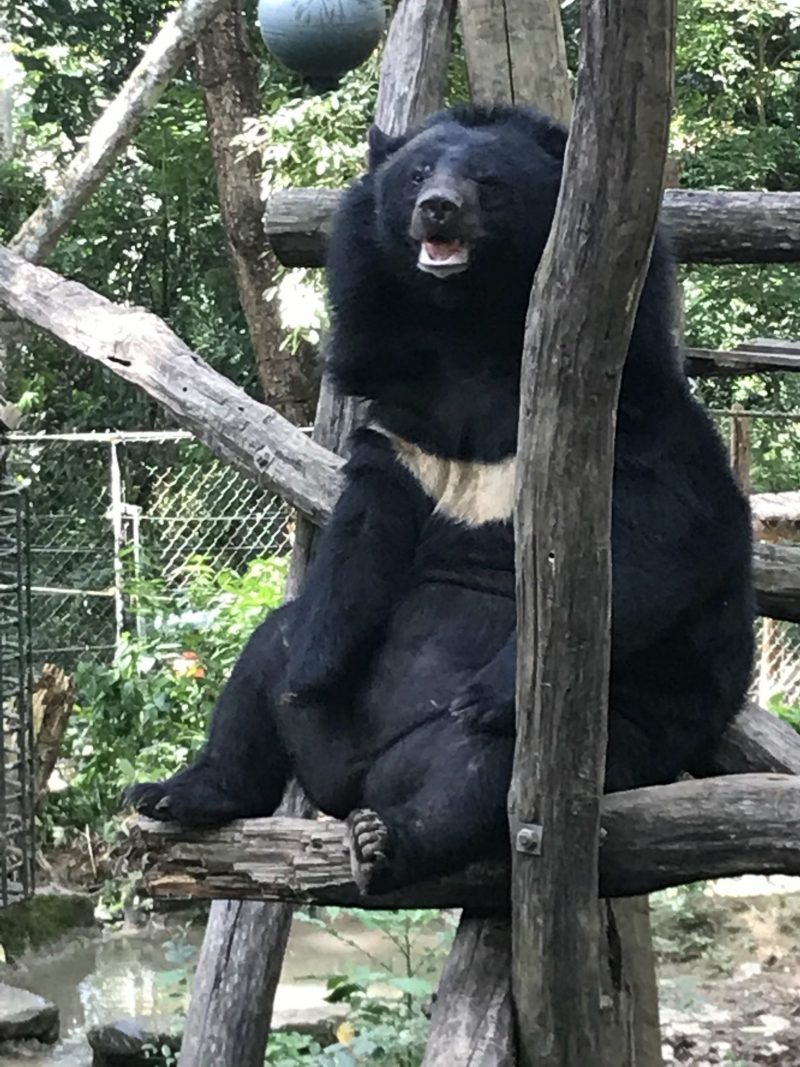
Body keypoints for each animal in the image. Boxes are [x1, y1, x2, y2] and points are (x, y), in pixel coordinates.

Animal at [128, 106, 755, 892]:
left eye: (488, 180)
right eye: (419, 174)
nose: (438, 210)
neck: (469, 336)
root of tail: (349, 781)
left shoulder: (628, 418)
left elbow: (671, 537)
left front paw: (495, 686)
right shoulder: (407, 423)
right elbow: (363, 527)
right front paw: (311, 668)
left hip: (598, 735)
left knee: (480, 776)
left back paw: (387, 839)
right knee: (262, 660)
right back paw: (179, 790)